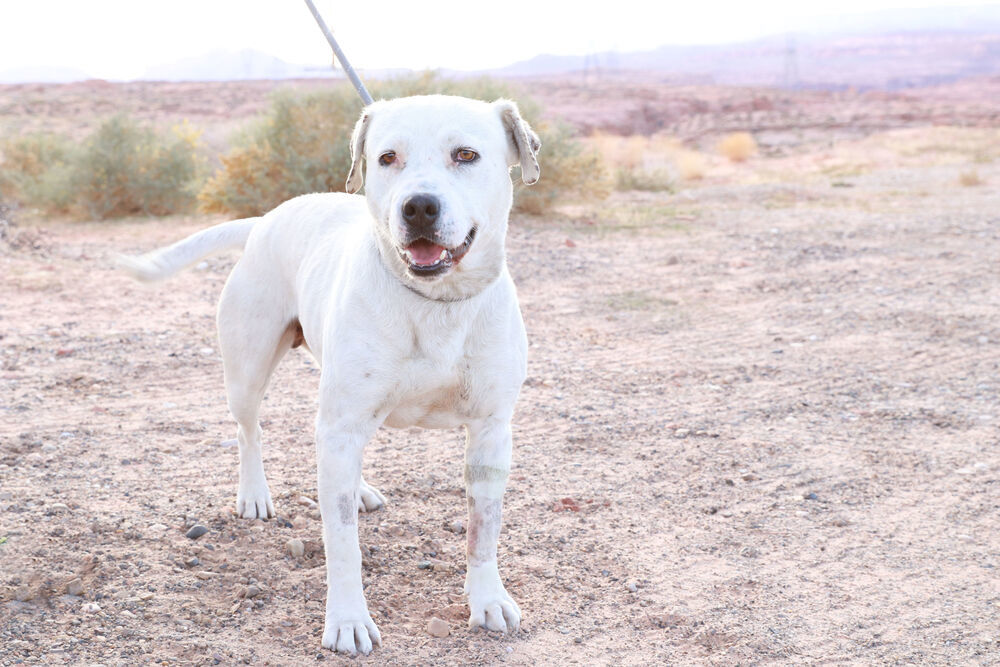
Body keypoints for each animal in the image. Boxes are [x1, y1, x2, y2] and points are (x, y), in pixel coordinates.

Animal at [120, 96, 544, 656]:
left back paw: (357, 489)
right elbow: (342, 543)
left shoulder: (491, 431)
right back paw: (254, 495)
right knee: (249, 431)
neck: (434, 303)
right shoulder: (340, 425)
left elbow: (483, 529)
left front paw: (488, 600)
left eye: (467, 154)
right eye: (386, 158)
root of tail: (265, 219)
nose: (418, 207)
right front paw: (347, 620)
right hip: (248, 373)